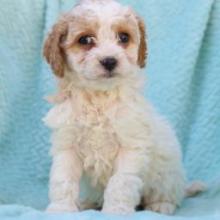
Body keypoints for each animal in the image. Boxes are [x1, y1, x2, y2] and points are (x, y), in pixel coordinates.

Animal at [42, 0, 205, 215]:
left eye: (124, 37)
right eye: (85, 40)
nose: (109, 60)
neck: (100, 98)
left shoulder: (130, 146)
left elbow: (120, 183)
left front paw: (116, 210)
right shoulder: (67, 145)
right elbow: (63, 180)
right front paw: (61, 209)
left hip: (166, 174)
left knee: (169, 194)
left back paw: (161, 205)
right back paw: (88, 203)